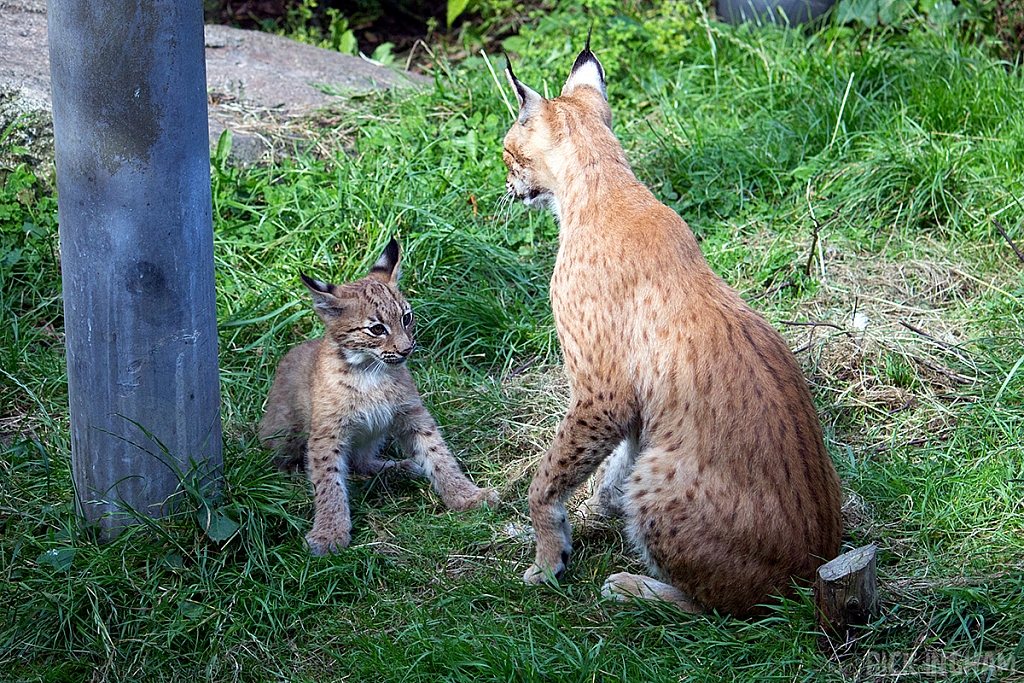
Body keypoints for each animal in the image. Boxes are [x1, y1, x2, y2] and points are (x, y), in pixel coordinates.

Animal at [256, 239, 495, 557]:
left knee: (360, 463)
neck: (369, 370)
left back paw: (398, 468)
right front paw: (329, 533)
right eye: (377, 329)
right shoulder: (327, 432)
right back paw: (293, 476)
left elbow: (438, 453)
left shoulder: (412, 413)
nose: (407, 349)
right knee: (281, 458)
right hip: (283, 431)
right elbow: (328, 480)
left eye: (407, 318)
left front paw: (465, 496)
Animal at [499, 45, 843, 618]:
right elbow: (616, 458)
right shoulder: (633, 403)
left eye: (507, 152)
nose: (507, 188)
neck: (604, 179)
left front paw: (549, 558)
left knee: (721, 611)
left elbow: (546, 474)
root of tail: (810, 570)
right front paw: (597, 508)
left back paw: (635, 587)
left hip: (661, 477)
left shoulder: (602, 391)